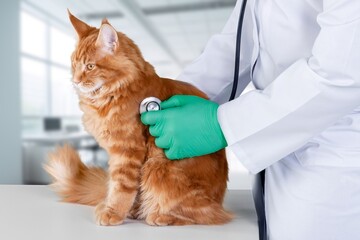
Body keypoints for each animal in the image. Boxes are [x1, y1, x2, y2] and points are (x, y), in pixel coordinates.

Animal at [43, 10, 232, 226]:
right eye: (74, 65)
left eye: (90, 66)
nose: (75, 80)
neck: (114, 92)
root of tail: (219, 201)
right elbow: (125, 187)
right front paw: (125, 209)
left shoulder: (128, 149)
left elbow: (122, 186)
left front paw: (114, 211)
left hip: (159, 168)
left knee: (206, 215)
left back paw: (161, 215)